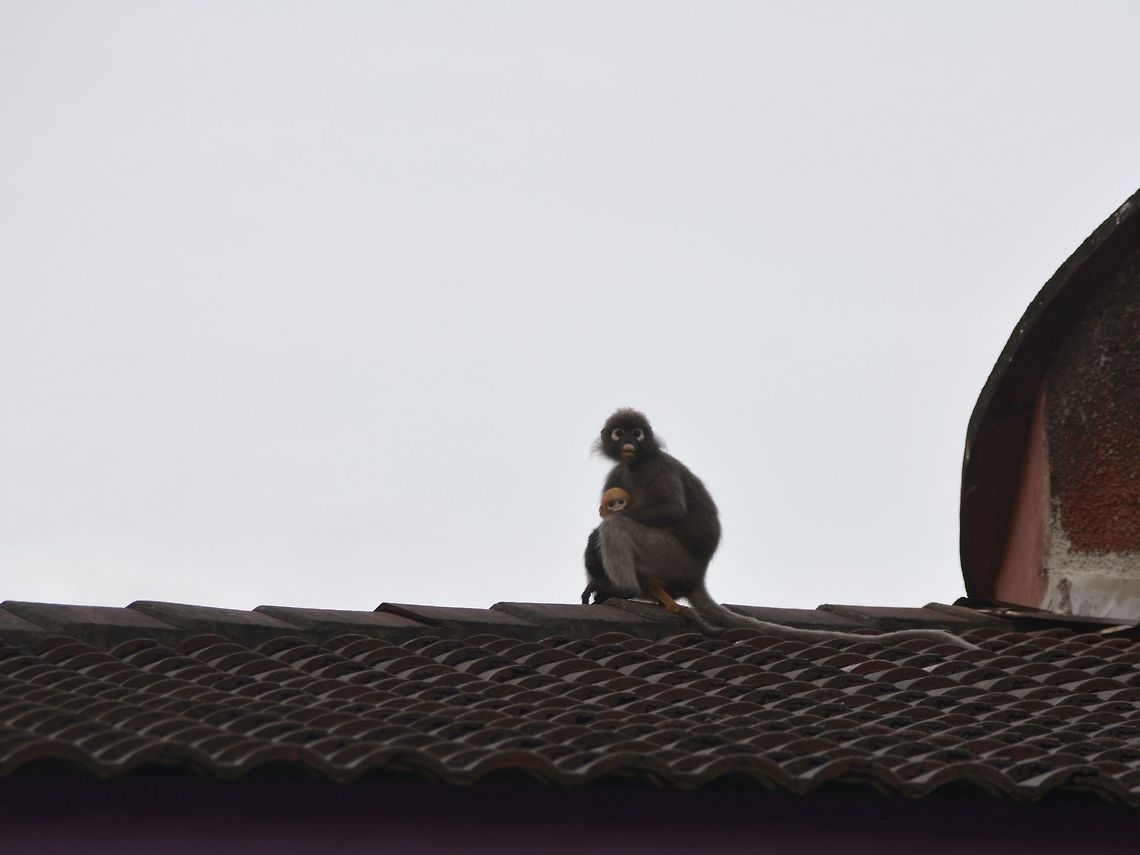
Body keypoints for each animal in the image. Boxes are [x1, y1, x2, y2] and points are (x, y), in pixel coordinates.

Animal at [583, 408, 978, 649]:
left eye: (637, 433)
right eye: (619, 433)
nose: (629, 442)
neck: (635, 464)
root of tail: (698, 576)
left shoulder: (657, 464)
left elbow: (667, 510)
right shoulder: (617, 473)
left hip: (669, 558)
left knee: (617, 528)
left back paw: (622, 587)